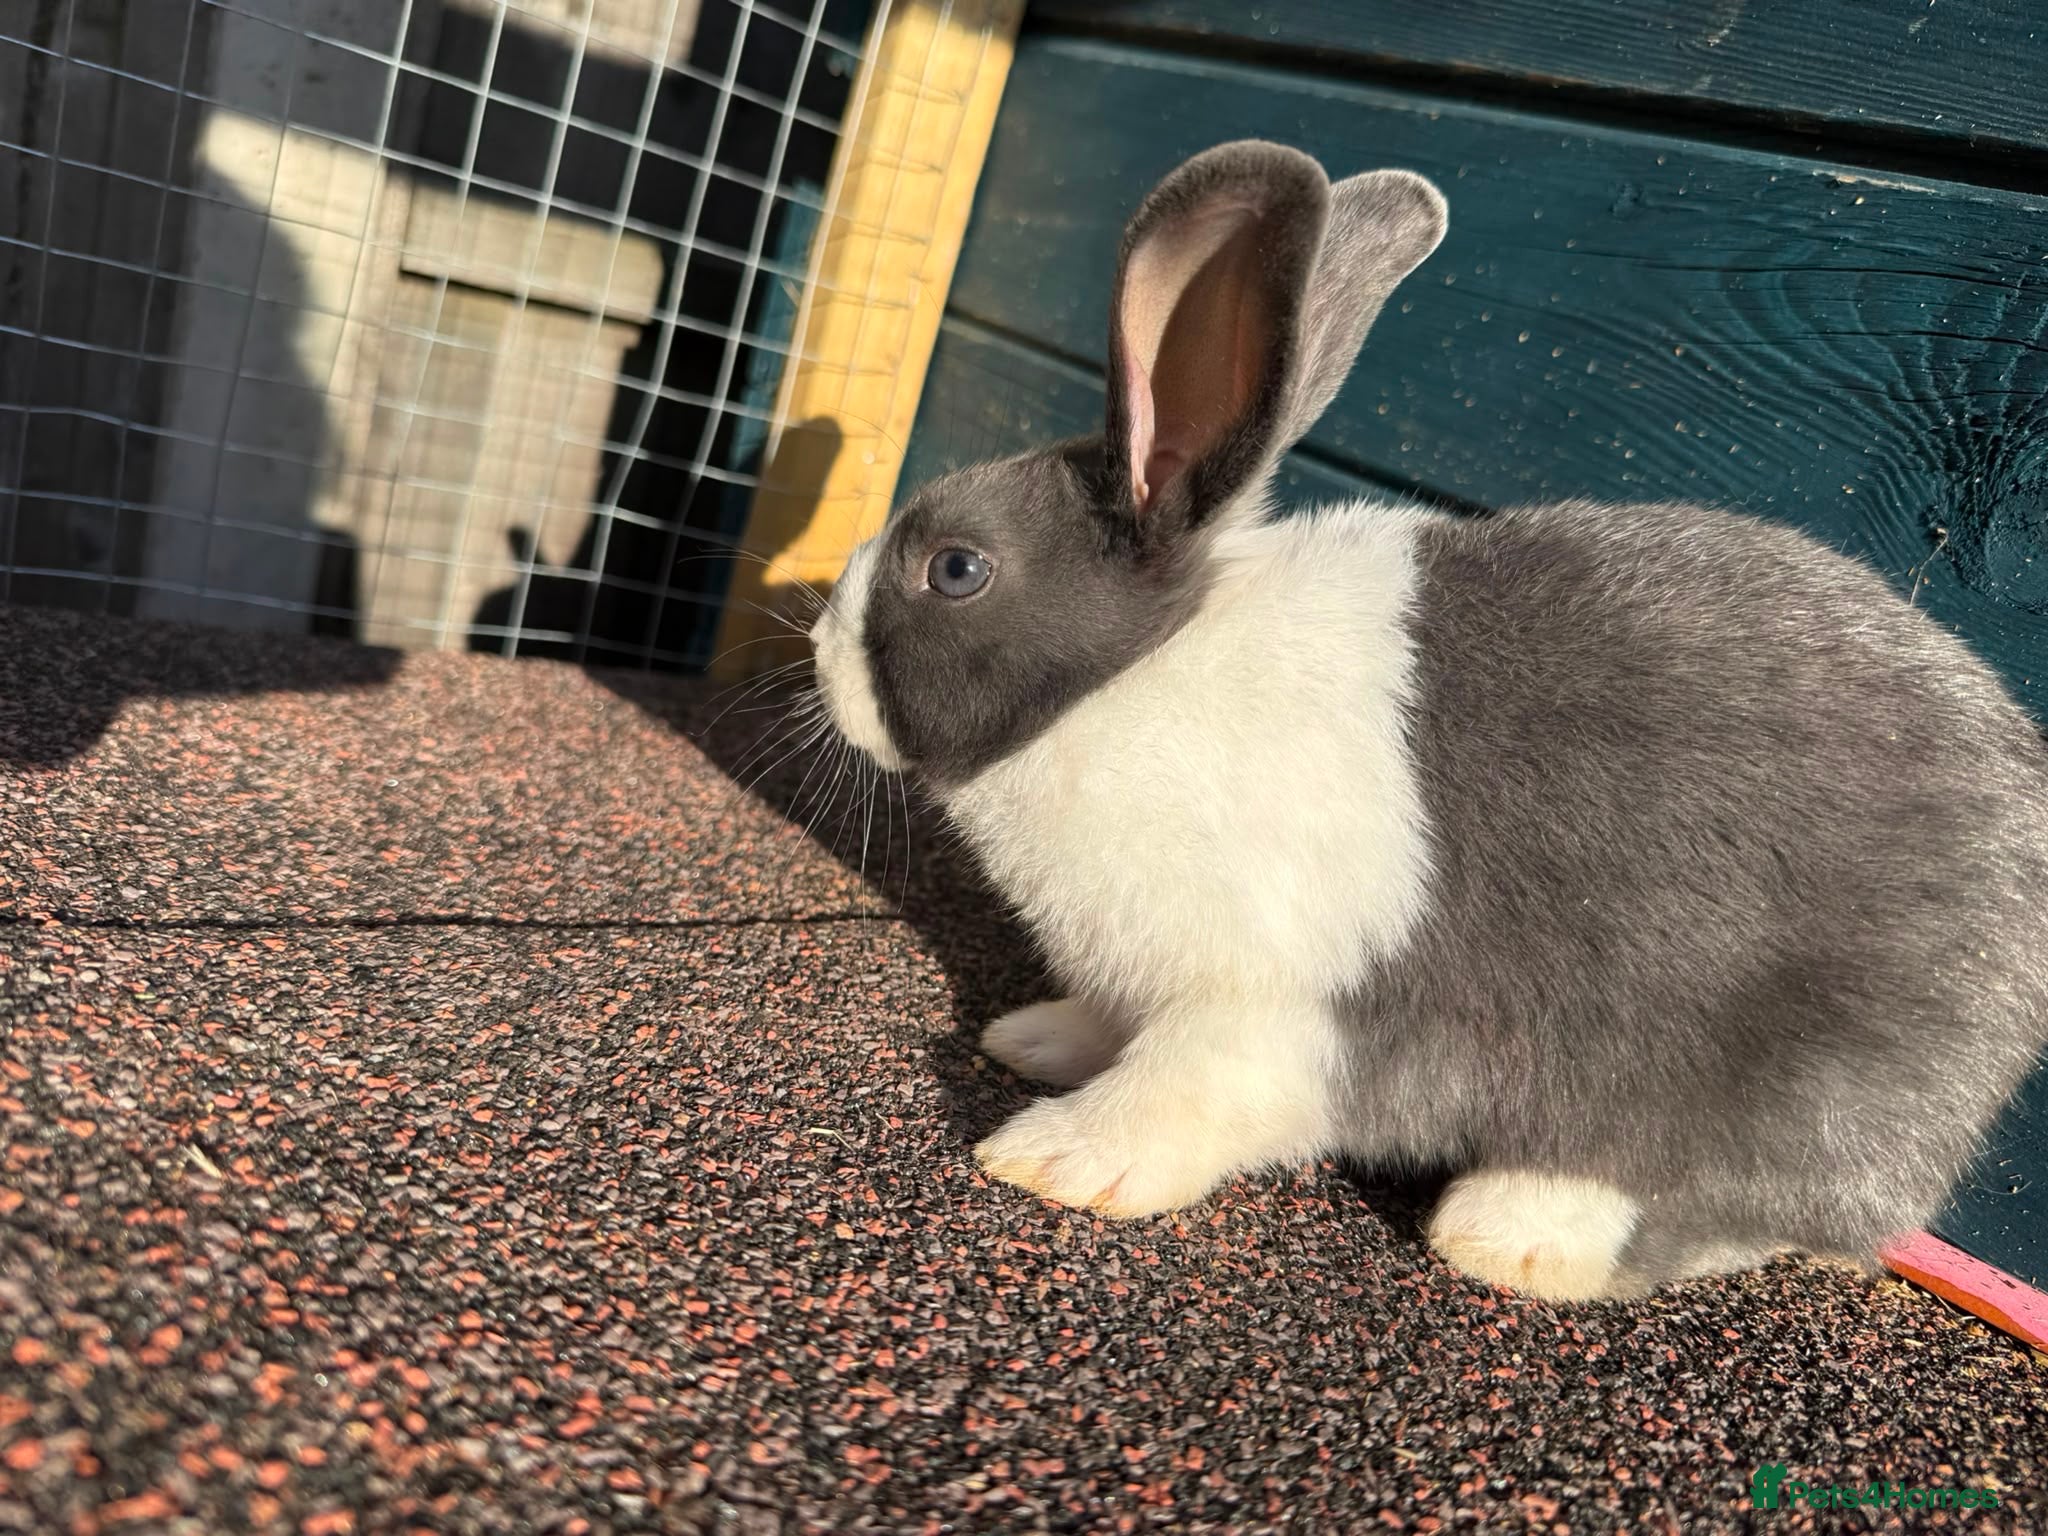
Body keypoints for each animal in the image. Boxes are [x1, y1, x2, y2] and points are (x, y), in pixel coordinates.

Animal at [805, 140, 2048, 1301]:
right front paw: (1034, 1041)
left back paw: (1512, 1231)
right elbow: (1112, 1030)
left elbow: (1185, 1094)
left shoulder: (1269, 1009)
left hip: (1787, 1082)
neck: (1132, 681)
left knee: (1730, 1208)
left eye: (954, 568)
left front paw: (1056, 1160)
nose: (816, 644)